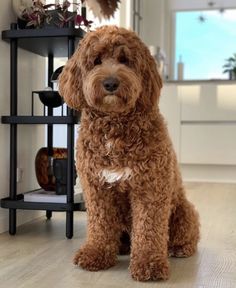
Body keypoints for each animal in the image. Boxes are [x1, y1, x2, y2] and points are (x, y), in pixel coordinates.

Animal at [58, 25, 199, 282]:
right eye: (96, 61)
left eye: (125, 60)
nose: (110, 83)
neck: (114, 126)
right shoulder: (96, 188)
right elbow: (100, 224)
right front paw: (96, 254)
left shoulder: (150, 187)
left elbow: (149, 228)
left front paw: (149, 264)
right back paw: (121, 247)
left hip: (183, 211)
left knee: (185, 234)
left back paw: (179, 248)